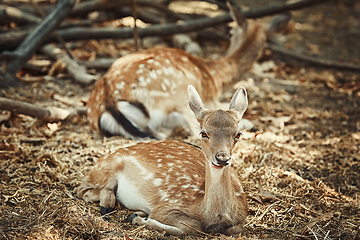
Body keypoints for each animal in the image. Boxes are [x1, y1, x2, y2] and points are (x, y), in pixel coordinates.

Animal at [78, 85, 248, 235]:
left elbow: (236, 229)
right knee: (82, 189)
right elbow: (193, 226)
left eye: (238, 134)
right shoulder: (165, 205)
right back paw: (108, 205)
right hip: (106, 168)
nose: (222, 158)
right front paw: (137, 218)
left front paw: (138, 216)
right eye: (203, 133)